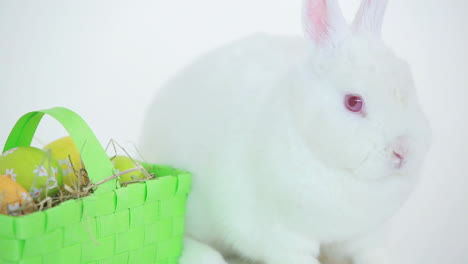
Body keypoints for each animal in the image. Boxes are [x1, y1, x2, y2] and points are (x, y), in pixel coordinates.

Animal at [139, 0, 432, 262]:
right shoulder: (284, 237)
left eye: (410, 86)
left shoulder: (365, 236)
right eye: (353, 102)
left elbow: (373, 254)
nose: (404, 151)